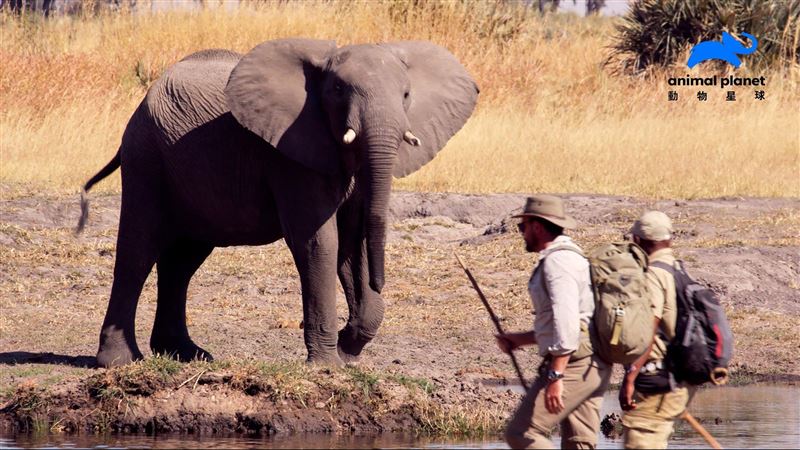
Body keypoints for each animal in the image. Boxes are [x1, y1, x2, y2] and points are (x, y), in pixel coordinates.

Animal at [77, 39, 479, 368]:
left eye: (407, 94)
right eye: (337, 90)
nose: (378, 283)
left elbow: (352, 243)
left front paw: (347, 350)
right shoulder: (289, 153)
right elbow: (320, 241)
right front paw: (328, 365)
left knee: (182, 261)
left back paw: (187, 355)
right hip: (146, 156)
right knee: (138, 249)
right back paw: (120, 362)